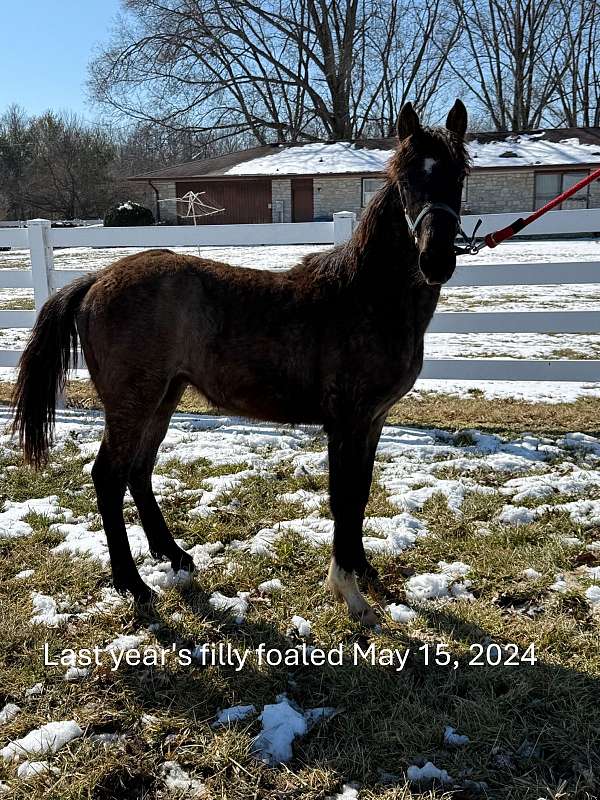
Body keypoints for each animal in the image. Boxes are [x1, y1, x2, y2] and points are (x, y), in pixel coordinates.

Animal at [10, 100, 468, 624]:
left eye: (459, 174)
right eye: (406, 178)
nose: (436, 260)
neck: (364, 296)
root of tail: (97, 279)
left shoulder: (373, 421)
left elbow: (361, 493)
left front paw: (364, 570)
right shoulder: (346, 423)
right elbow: (343, 498)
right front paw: (349, 591)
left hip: (164, 396)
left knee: (139, 471)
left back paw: (174, 555)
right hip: (133, 401)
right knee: (109, 476)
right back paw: (134, 585)